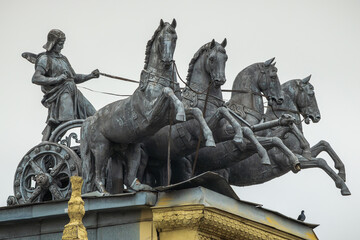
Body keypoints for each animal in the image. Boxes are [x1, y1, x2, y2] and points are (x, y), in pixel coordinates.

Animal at [81, 19, 215, 194]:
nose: (167, 61)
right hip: (101, 148)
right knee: (98, 175)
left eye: (175, 38)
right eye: (161, 39)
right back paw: (103, 192)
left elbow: (197, 111)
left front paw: (210, 138)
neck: (156, 82)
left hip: (131, 149)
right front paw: (180, 110)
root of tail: (89, 120)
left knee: (129, 176)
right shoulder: (150, 115)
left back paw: (140, 186)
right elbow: (167, 92)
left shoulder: (168, 118)